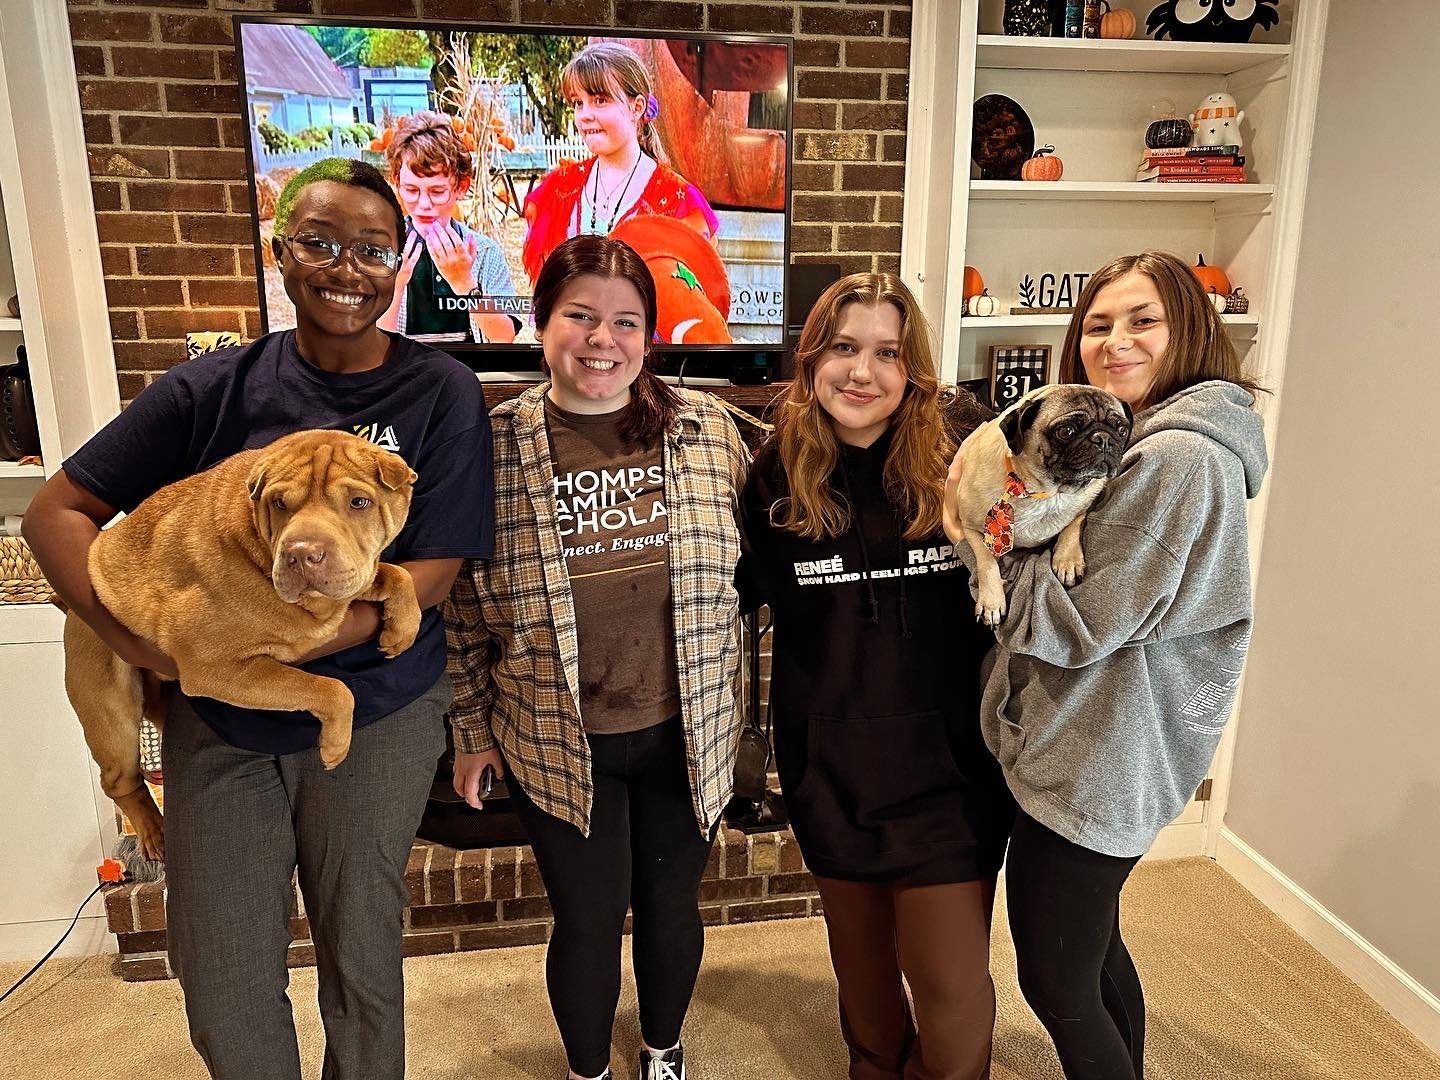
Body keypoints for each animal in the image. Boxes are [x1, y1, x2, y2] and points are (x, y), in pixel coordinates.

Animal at [61, 429, 421, 860]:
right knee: (119, 780)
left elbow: (395, 573)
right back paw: (153, 832)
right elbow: (332, 689)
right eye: (280, 503)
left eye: (358, 502)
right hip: (112, 711)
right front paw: (334, 747)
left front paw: (402, 628)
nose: (303, 554)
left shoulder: (353, 579)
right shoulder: (216, 668)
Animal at [951, 384, 1131, 627]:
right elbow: (987, 562)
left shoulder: (1084, 503)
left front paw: (1068, 560)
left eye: (1122, 430)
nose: (1103, 438)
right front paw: (991, 602)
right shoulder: (970, 529)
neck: (1046, 493)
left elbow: (1073, 523)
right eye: (1066, 431)